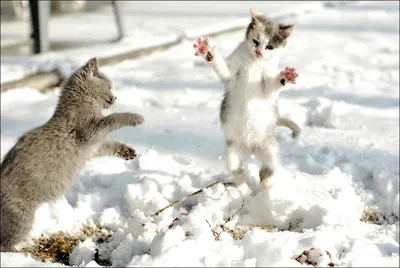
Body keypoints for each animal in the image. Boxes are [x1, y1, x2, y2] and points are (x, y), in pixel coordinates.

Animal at [0, 57, 144, 252]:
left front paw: (127, 151)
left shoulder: (95, 146)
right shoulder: (90, 131)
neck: (83, 103)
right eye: (109, 86)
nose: (115, 97)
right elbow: (113, 118)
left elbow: (111, 144)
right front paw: (135, 117)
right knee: (5, 243)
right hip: (20, 217)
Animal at [194, 6, 300, 195]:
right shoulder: (232, 72)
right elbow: (223, 71)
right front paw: (208, 51)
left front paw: (286, 76)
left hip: (271, 151)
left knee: (266, 172)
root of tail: (251, 149)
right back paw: (245, 190)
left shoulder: (267, 83)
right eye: (255, 41)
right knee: (238, 171)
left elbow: (272, 86)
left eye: (270, 46)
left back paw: (265, 192)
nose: (259, 51)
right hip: (233, 152)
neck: (254, 62)